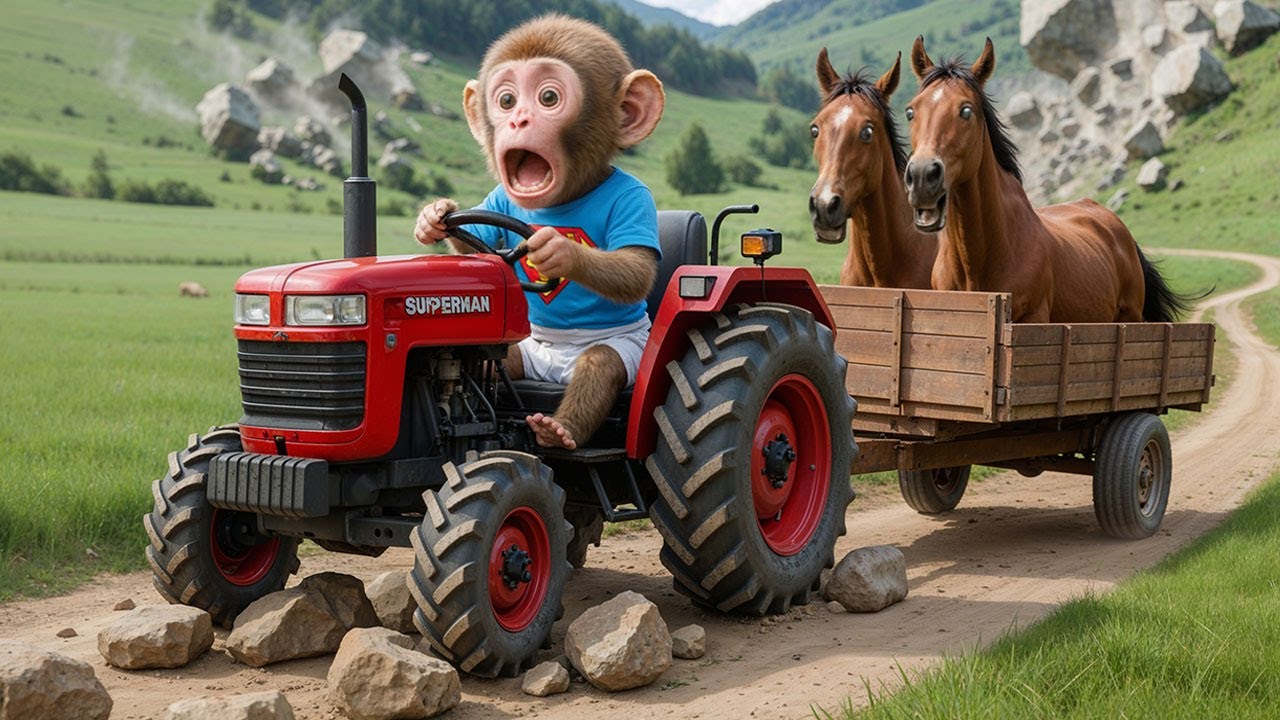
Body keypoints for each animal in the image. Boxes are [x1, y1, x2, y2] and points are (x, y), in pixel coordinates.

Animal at [414, 14, 666, 451]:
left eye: (548, 97)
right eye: (506, 101)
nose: (518, 120)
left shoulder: (634, 199)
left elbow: (635, 267)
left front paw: (558, 249)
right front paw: (433, 215)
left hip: (630, 352)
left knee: (601, 363)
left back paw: (557, 430)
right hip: (525, 360)